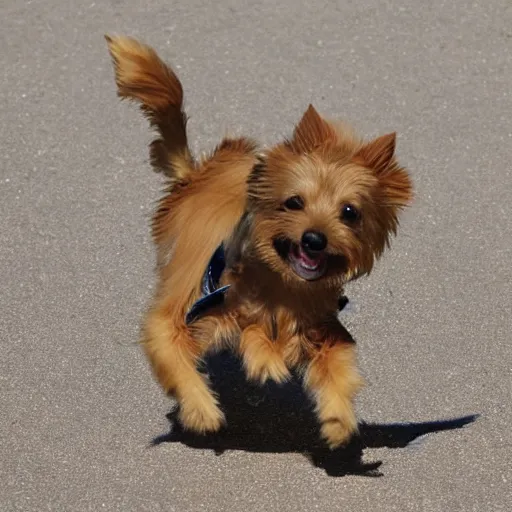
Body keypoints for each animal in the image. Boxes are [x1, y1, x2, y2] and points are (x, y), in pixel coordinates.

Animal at [106, 35, 414, 448]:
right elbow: (178, 353)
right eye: (294, 202)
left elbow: (337, 364)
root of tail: (197, 175)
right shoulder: (183, 312)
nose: (314, 239)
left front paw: (338, 420)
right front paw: (202, 409)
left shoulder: (320, 325)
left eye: (350, 212)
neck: (279, 283)